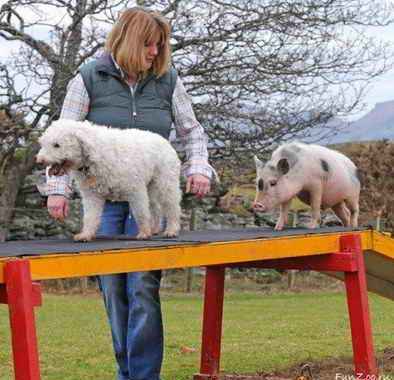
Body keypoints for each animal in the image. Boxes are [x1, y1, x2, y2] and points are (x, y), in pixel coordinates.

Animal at [36, 120, 181, 242]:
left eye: (57, 145)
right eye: (43, 144)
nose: (39, 161)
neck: (92, 156)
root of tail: (164, 140)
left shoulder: (136, 191)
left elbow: (141, 213)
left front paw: (144, 232)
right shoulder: (91, 195)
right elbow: (90, 216)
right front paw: (86, 234)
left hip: (166, 182)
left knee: (171, 206)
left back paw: (171, 230)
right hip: (151, 186)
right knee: (155, 207)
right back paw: (155, 228)